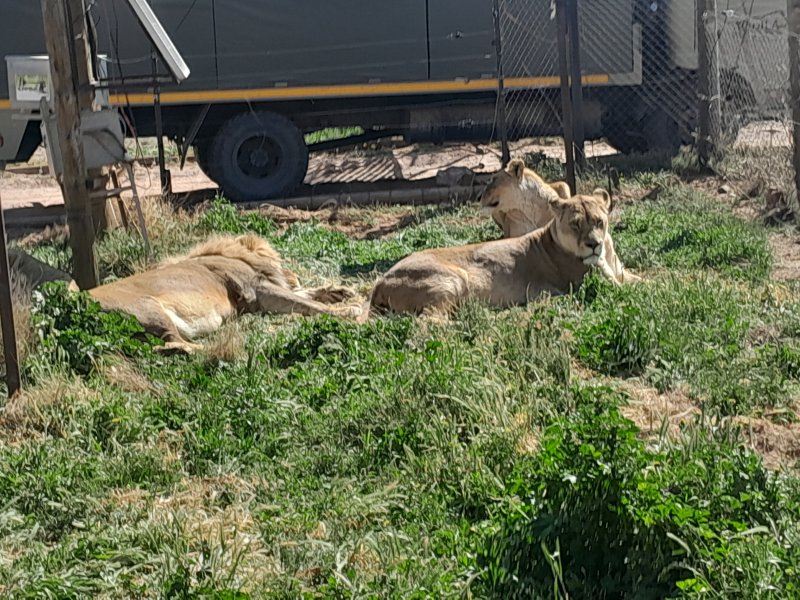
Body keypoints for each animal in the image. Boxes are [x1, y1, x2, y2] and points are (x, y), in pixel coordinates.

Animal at [85, 234, 360, 353]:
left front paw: (339, 292)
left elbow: (305, 296)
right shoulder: (256, 290)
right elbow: (307, 303)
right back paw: (225, 348)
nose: (296, 275)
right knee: (180, 344)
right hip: (149, 309)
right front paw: (349, 311)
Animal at [366, 190, 616, 316]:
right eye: (575, 224)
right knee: (430, 320)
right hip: (454, 278)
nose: (593, 244)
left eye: (598, 221)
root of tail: (380, 281)